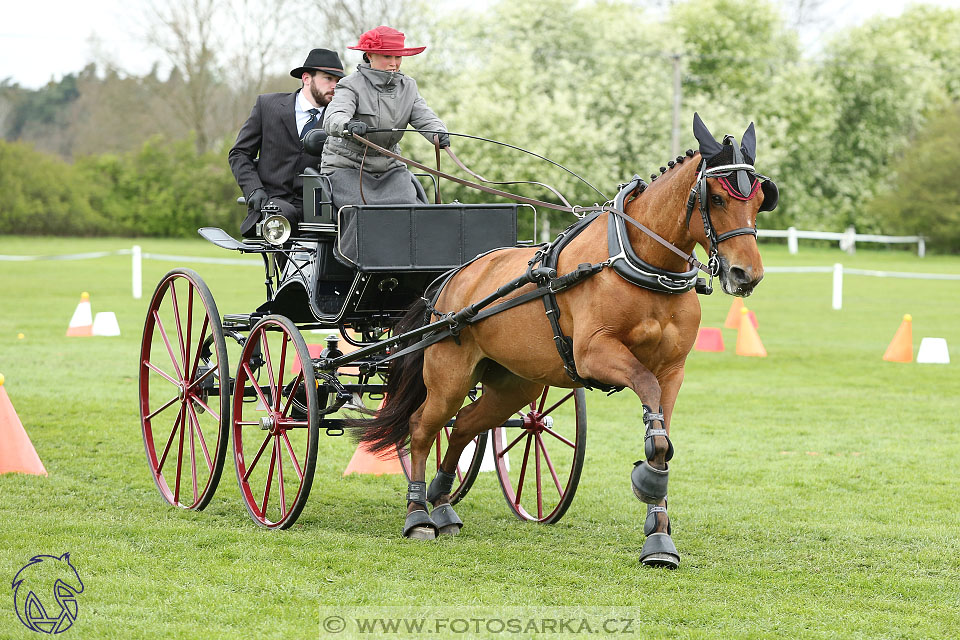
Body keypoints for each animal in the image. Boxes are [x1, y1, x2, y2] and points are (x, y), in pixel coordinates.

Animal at [358, 114, 772, 564]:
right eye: (717, 198)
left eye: (760, 198)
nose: (746, 275)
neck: (641, 263)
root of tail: (450, 280)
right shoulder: (595, 354)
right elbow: (645, 393)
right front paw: (648, 487)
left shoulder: (673, 370)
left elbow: (662, 436)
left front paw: (659, 536)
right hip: (449, 377)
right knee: (422, 427)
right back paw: (418, 514)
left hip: (514, 384)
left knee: (465, 424)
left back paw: (444, 505)